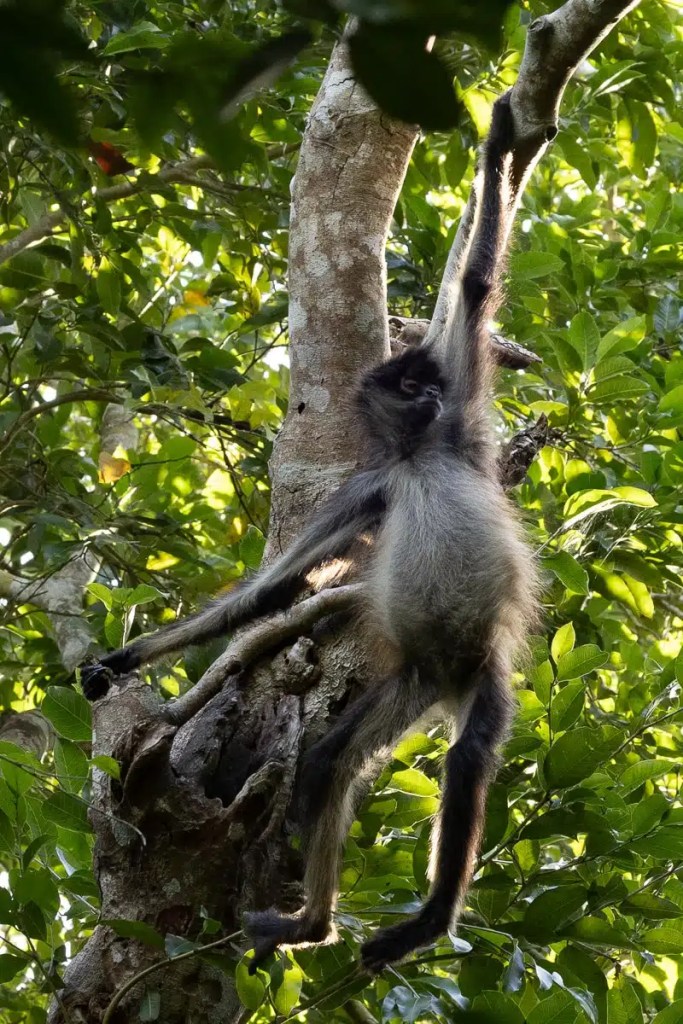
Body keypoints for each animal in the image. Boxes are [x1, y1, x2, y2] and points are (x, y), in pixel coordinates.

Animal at [81, 92, 539, 973]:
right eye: (407, 388)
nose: (429, 399)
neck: (418, 459)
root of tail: (450, 674)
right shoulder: (368, 488)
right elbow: (272, 591)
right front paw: (121, 662)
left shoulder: (461, 437)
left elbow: (473, 285)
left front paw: (500, 141)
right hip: (413, 679)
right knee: (332, 760)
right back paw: (312, 924)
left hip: (483, 675)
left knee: (466, 761)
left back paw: (426, 922)